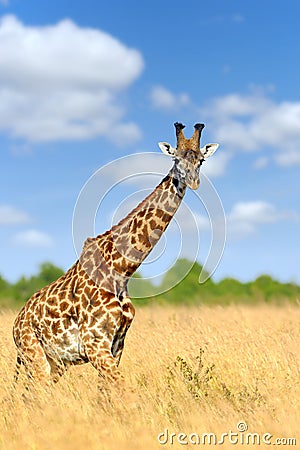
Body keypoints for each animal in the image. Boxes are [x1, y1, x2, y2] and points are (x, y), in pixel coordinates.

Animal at [12, 121, 219, 384]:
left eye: (201, 160)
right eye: (176, 158)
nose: (193, 181)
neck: (122, 269)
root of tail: (16, 324)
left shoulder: (116, 344)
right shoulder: (94, 344)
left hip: (54, 363)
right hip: (35, 358)